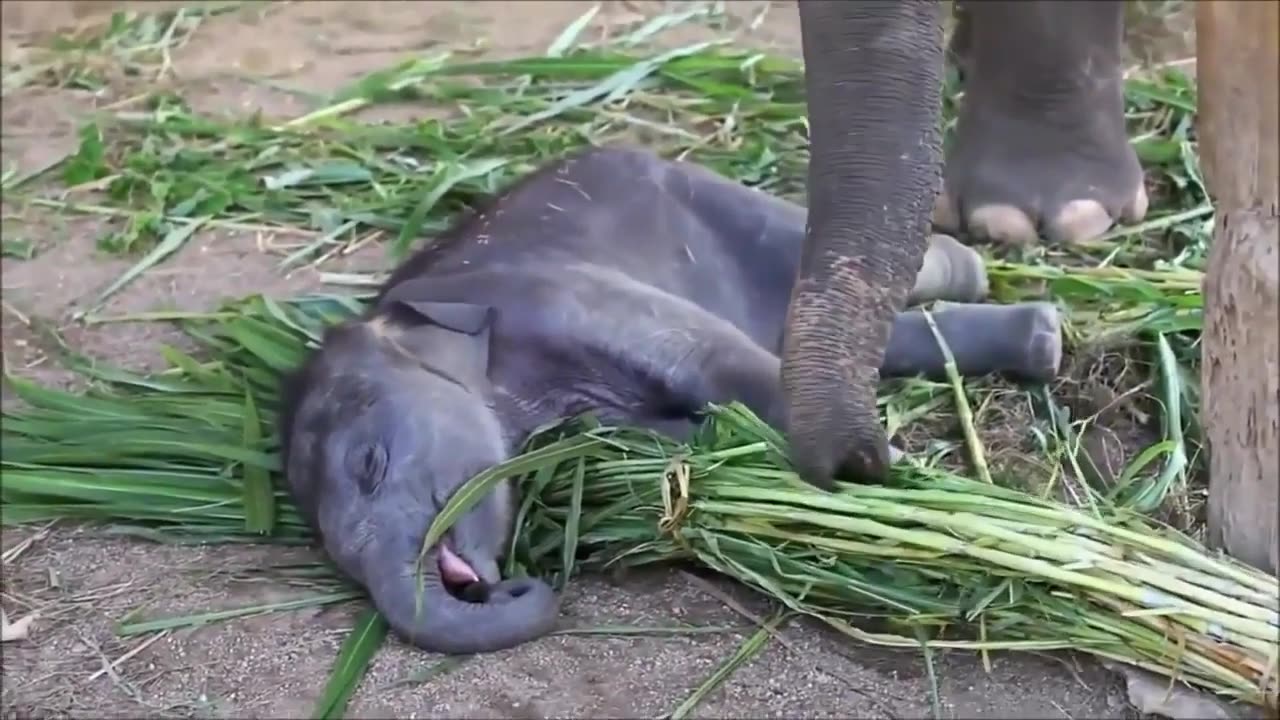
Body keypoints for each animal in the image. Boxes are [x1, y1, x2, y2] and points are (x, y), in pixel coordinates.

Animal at [277, 146, 1059, 655]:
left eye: (370, 464)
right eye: (327, 548)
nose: (509, 587)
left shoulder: (555, 293)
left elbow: (716, 362)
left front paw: (890, 471)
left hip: (720, 202)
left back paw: (980, 273)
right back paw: (1042, 337)